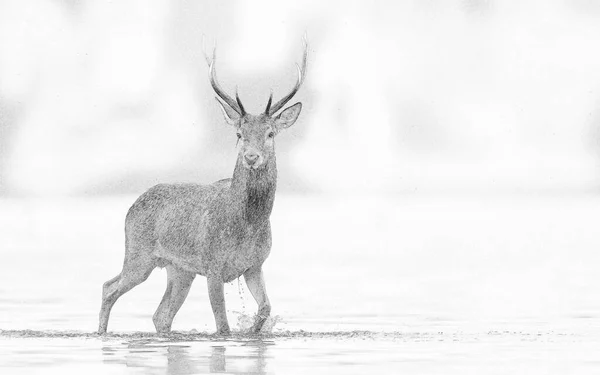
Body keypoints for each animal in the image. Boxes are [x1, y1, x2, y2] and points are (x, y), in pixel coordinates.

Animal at [99, 39, 310, 336]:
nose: (251, 157)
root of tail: (132, 206)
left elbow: (265, 307)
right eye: (239, 134)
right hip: (139, 254)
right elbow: (222, 325)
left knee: (160, 315)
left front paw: (253, 329)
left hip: (179, 270)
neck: (247, 224)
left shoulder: (255, 265)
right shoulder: (213, 265)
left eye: (270, 133)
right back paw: (101, 332)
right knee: (109, 287)